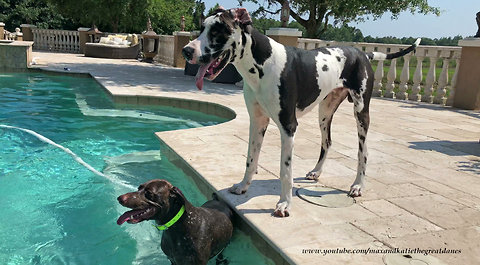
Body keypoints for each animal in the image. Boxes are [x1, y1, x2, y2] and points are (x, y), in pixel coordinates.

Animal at [184, 7, 420, 217]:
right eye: (202, 28)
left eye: (218, 30)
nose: (187, 51)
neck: (263, 63)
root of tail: (361, 52)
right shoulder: (257, 121)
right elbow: (251, 158)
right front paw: (243, 186)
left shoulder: (288, 127)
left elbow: (285, 171)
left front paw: (284, 204)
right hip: (324, 113)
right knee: (327, 142)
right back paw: (317, 172)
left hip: (361, 113)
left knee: (363, 152)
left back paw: (358, 185)